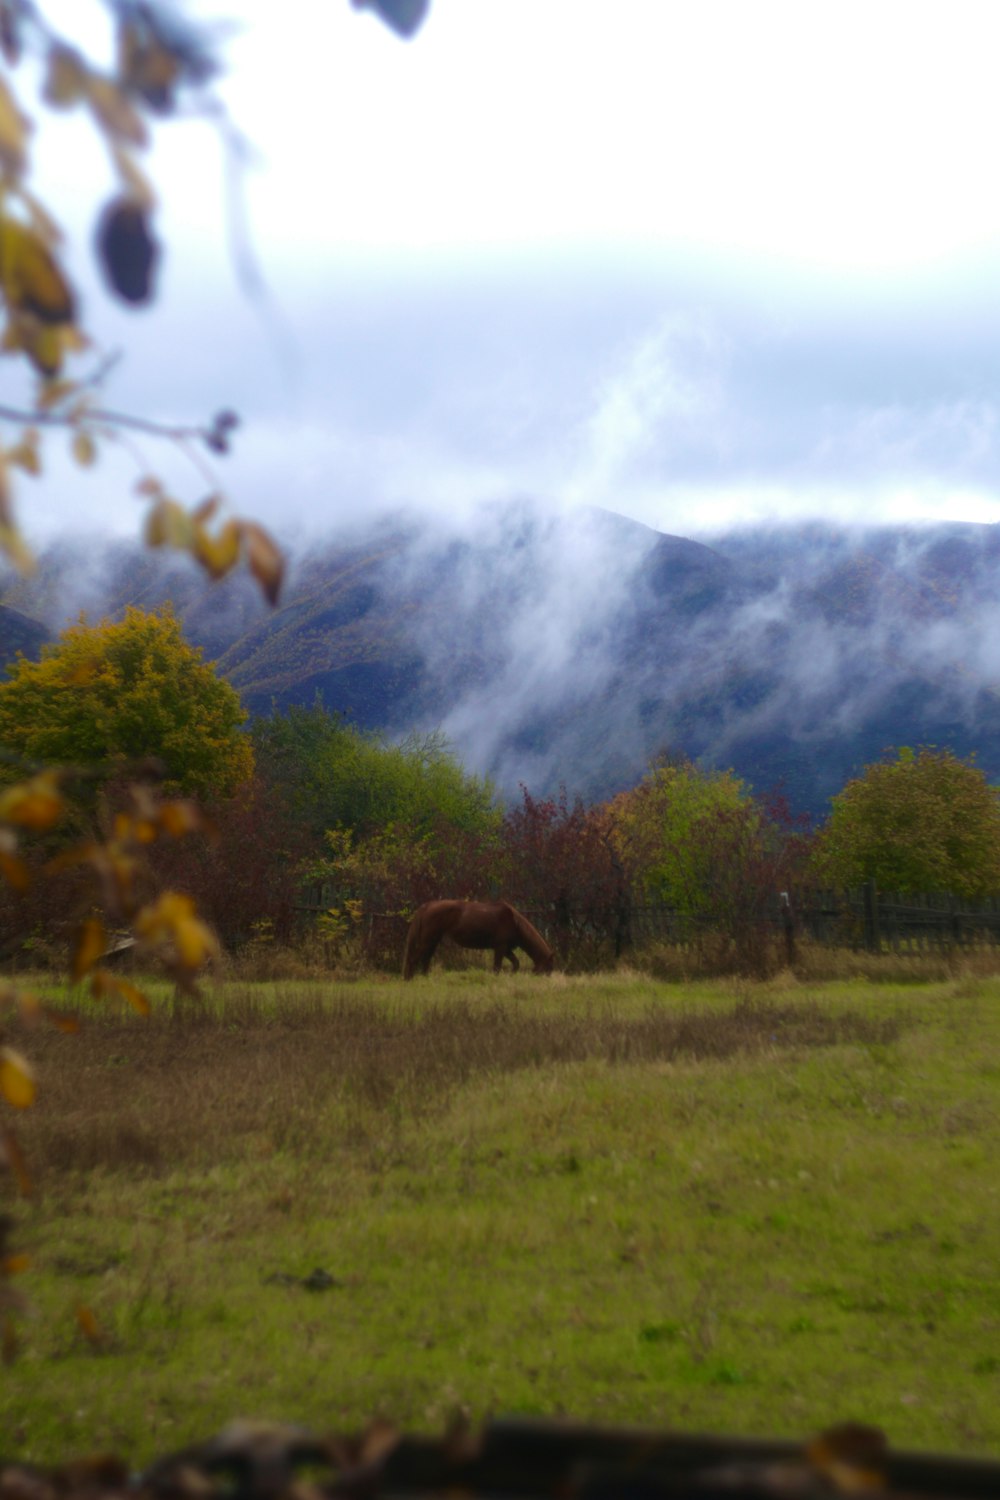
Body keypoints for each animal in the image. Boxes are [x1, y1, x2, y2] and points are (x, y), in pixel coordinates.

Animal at [401, 900, 554, 984]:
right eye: (548, 967)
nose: (547, 980)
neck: (515, 923)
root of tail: (426, 906)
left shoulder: (506, 949)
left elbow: (516, 963)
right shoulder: (500, 947)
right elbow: (497, 967)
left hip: (433, 941)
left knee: (425, 960)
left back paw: (426, 979)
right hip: (427, 941)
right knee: (414, 959)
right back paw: (409, 980)